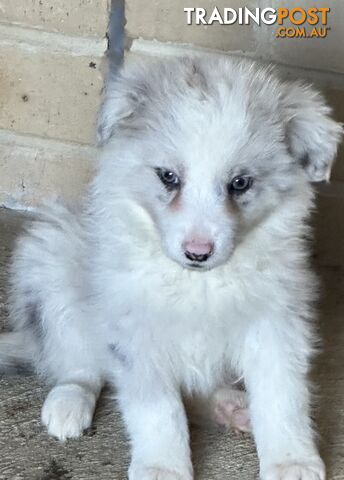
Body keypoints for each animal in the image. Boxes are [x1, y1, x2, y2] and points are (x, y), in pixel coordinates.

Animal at [1, 54, 342, 478]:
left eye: (240, 183)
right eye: (168, 177)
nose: (198, 253)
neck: (199, 283)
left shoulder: (275, 324)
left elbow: (283, 397)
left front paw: (291, 460)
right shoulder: (136, 331)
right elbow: (159, 411)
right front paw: (162, 467)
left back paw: (230, 406)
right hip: (51, 262)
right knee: (77, 360)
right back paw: (68, 402)